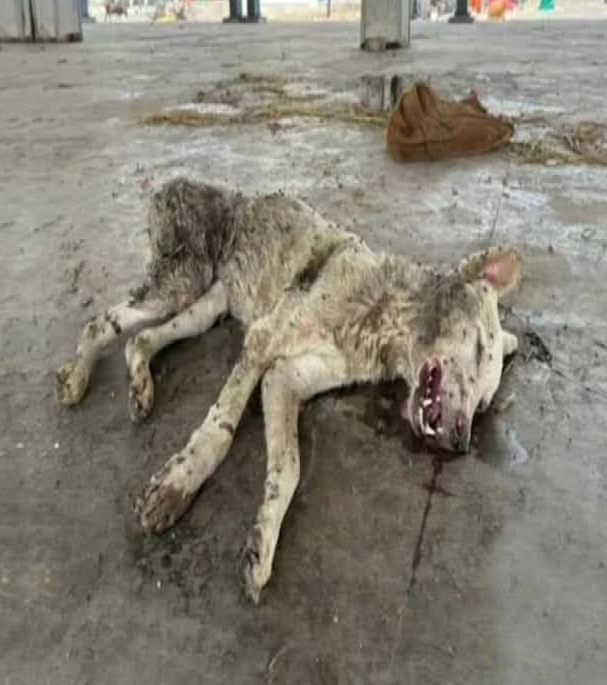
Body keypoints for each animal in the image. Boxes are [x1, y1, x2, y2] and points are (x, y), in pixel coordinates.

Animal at [56, 178, 522, 602]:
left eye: (484, 404)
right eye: (480, 349)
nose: (460, 442)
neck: (383, 317)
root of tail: (176, 183)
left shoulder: (284, 377)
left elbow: (289, 468)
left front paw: (262, 540)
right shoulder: (262, 340)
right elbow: (219, 431)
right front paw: (177, 485)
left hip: (206, 308)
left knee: (140, 339)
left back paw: (139, 387)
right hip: (180, 283)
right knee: (101, 323)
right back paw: (76, 377)